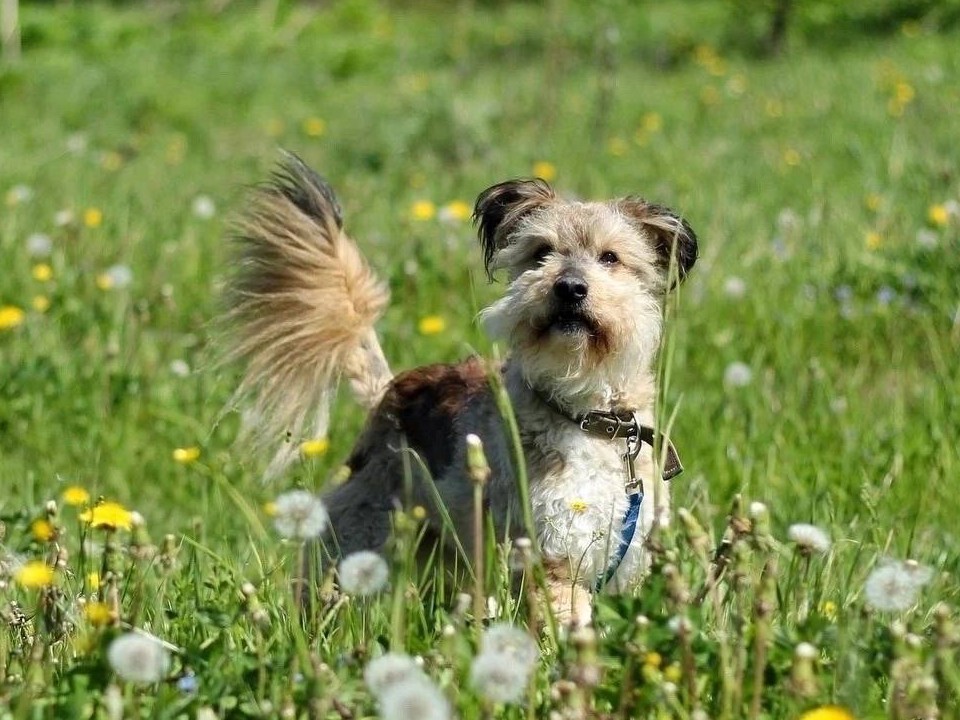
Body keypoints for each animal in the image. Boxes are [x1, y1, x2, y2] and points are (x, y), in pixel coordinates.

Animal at [225, 152, 696, 624]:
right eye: (541, 253)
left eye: (610, 257)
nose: (570, 288)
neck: (588, 417)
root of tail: (388, 391)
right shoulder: (552, 559)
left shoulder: (626, 557)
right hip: (361, 532)